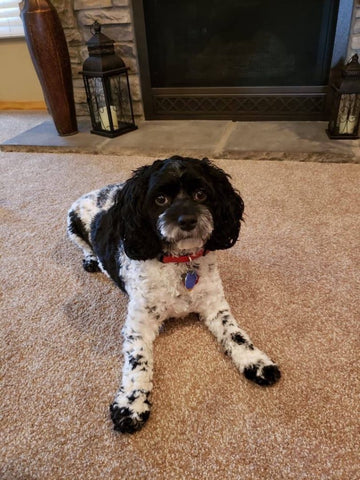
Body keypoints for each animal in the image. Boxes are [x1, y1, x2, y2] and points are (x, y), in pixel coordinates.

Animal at [67, 156, 282, 434]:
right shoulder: (138, 324)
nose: (187, 220)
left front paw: (257, 363)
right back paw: (91, 260)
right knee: (85, 247)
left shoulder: (215, 305)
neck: (180, 262)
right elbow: (138, 362)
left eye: (201, 194)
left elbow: (236, 335)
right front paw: (131, 405)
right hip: (71, 226)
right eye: (160, 199)